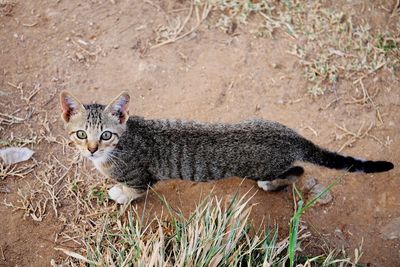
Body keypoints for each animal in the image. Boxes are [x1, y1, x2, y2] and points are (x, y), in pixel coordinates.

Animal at [59, 91, 394, 204]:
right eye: (80, 134)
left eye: (105, 135)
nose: (91, 150)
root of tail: (292, 136)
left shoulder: (143, 177)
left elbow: (134, 190)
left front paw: (122, 195)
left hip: (263, 168)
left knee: (296, 170)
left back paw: (272, 184)